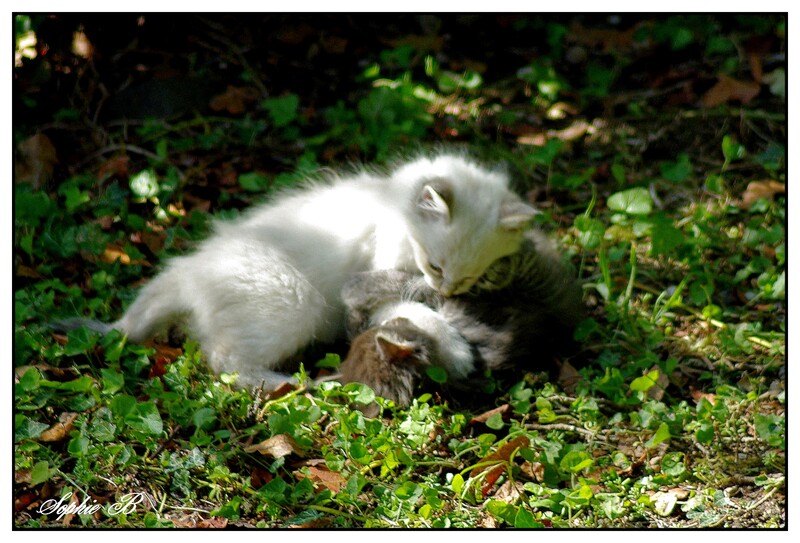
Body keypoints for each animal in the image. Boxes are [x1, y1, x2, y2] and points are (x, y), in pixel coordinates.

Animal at [89, 155, 536, 388]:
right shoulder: (372, 287)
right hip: (295, 301)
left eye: (472, 276)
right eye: (435, 264)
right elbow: (415, 314)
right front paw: (458, 353)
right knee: (225, 362)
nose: (446, 288)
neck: (392, 208)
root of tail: (189, 271)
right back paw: (292, 384)